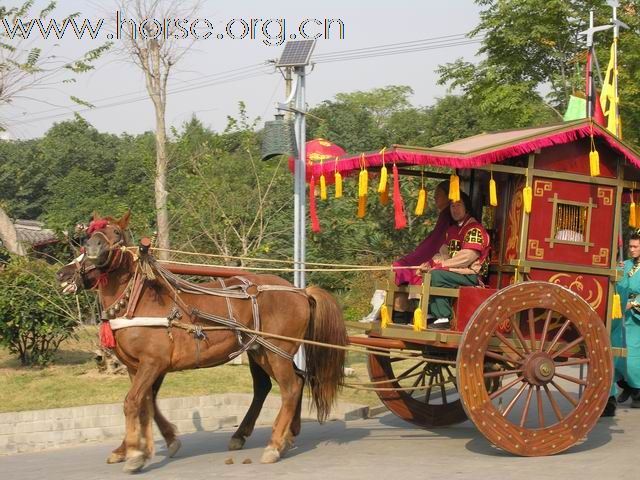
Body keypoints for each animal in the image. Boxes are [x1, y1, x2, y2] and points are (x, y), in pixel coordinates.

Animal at [55, 213, 348, 472]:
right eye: (87, 235)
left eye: (115, 233)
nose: (63, 273)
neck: (137, 302)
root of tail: (300, 290)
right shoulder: (136, 367)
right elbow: (146, 403)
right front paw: (144, 445)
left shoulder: (152, 363)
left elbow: (133, 402)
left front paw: (136, 454)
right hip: (262, 351)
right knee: (286, 382)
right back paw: (279, 435)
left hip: (276, 351)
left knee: (290, 388)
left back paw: (274, 445)